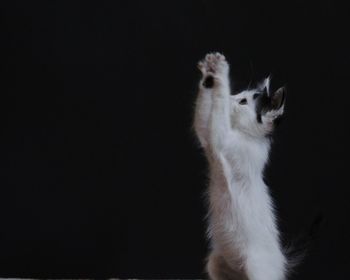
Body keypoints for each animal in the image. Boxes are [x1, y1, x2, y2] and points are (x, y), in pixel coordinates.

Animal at [194, 53, 288, 280]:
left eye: (243, 101)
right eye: (239, 94)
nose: (232, 98)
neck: (246, 135)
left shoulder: (219, 139)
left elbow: (217, 106)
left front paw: (221, 73)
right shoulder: (208, 138)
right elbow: (204, 114)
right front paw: (208, 73)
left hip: (256, 268)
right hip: (215, 262)